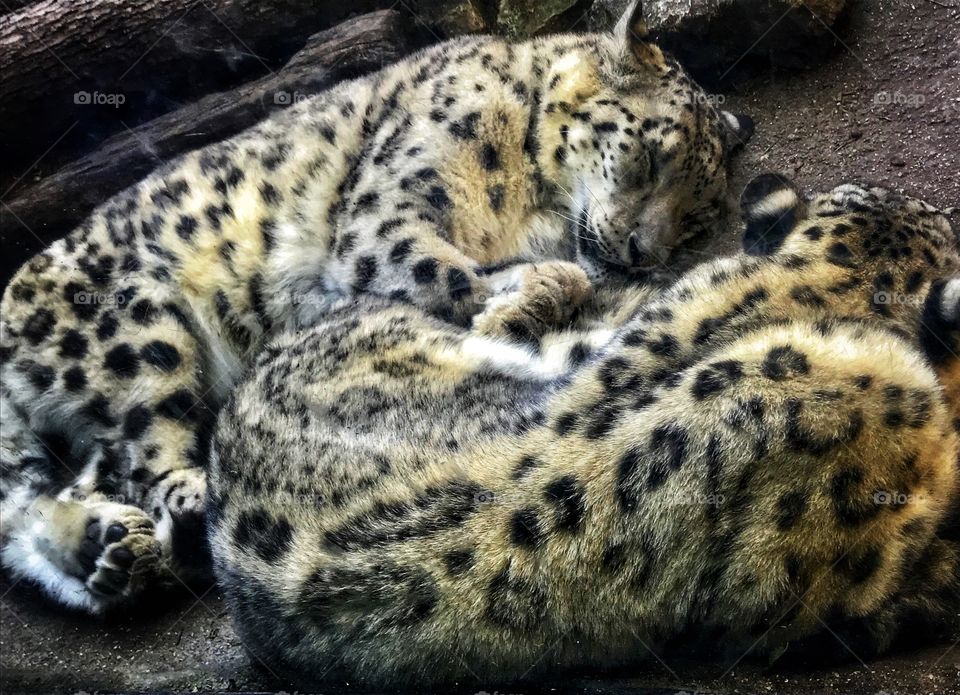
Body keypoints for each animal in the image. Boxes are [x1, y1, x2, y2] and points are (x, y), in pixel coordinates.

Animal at [0, 0, 752, 612]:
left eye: (696, 215)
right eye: (651, 157)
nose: (643, 251)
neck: (532, 203)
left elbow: (559, 274)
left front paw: (525, 300)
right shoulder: (386, 216)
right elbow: (446, 270)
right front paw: (505, 309)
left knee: (29, 505)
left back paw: (109, 551)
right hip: (141, 337)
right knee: (141, 460)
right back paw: (179, 514)